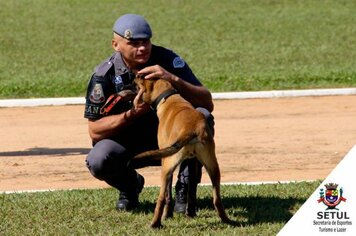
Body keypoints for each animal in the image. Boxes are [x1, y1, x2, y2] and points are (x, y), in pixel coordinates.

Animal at [133, 75, 231, 227]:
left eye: (142, 78)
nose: (136, 75)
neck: (169, 98)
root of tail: (191, 129)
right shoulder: (192, 160)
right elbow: (191, 189)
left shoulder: (165, 161)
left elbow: (168, 195)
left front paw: (167, 215)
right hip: (213, 167)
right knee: (216, 199)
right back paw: (224, 220)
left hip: (167, 167)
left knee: (161, 198)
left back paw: (155, 224)